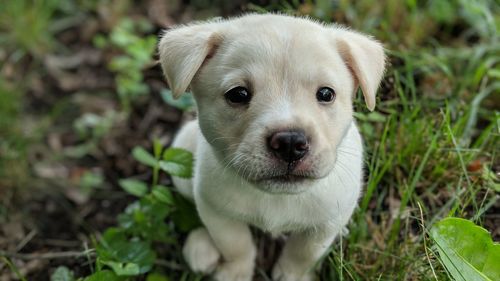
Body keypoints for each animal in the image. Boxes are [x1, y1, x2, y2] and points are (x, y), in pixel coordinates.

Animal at [158, 13, 384, 280]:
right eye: (238, 94)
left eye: (326, 94)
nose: (290, 143)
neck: (278, 197)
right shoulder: (217, 211)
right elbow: (236, 245)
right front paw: (236, 272)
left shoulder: (325, 223)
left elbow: (303, 254)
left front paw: (292, 274)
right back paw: (201, 247)